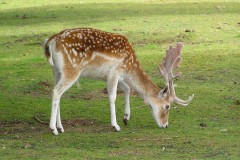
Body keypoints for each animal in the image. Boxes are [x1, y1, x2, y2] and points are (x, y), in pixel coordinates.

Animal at [43, 27, 193, 135]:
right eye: (167, 106)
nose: (165, 125)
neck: (129, 67)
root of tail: (50, 42)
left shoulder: (115, 76)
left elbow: (127, 89)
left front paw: (126, 118)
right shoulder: (114, 72)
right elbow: (113, 97)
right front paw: (116, 125)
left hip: (56, 71)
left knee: (58, 93)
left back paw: (60, 127)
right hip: (71, 70)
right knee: (56, 92)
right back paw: (53, 129)